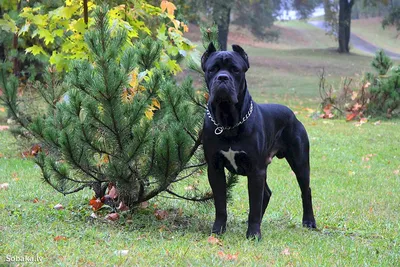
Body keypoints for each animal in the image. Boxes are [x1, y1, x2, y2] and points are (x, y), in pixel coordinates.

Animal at [202, 44, 318, 241]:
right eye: (212, 69)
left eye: (235, 69)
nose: (223, 78)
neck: (228, 121)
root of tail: (293, 114)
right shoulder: (215, 168)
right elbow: (220, 204)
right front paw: (218, 230)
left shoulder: (256, 169)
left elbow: (254, 205)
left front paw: (254, 234)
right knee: (267, 193)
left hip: (300, 162)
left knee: (306, 191)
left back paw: (309, 222)